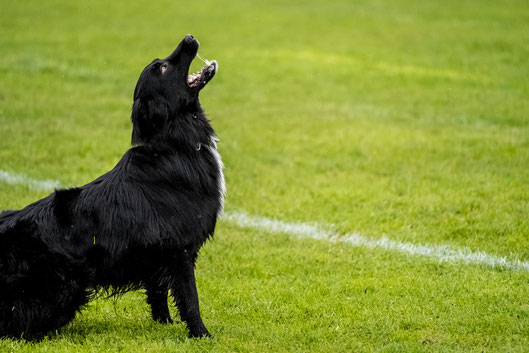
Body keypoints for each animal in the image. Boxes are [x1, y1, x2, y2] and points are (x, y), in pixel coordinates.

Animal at [0, 35, 223, 338]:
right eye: (162, 67)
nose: (188, 38)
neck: (172, 145)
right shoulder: (181, 251)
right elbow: (190, 299)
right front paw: (201, 335)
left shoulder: (160, 254)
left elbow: (158, 292)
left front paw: (163, 323)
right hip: (69, 287)